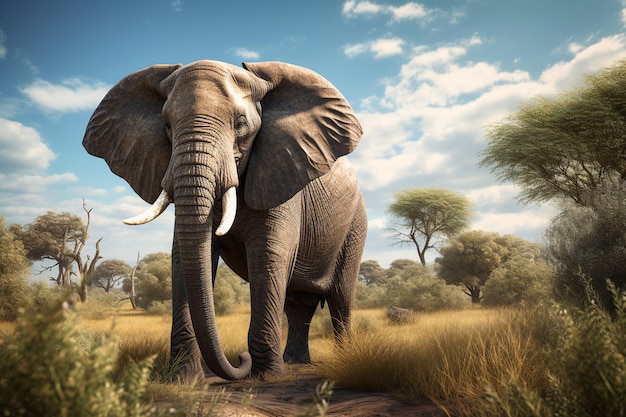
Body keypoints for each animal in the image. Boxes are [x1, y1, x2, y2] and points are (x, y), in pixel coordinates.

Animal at [82, 59, 366, 380]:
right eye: (166, 125)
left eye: (240, 124)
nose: (241, 359)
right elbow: (188, 256)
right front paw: (183, 379)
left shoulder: (280, 178)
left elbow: (268, 256)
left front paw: (266, 377)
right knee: (299, 304)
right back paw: (296, 362)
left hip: (355, 226)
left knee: (341, 298)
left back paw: (339, 356)